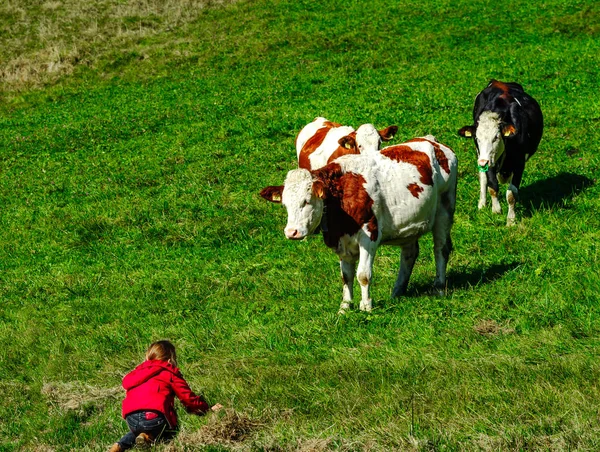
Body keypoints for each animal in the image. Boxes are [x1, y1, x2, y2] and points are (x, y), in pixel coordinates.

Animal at [260, 135, 458, 310]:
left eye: (306, 201)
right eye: (285, 204)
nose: (291, 232)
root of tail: (433, 142)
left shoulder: (369, 235)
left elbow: (363, 275)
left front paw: (366, 306)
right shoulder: (342, 241)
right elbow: (346, 276)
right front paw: (345, 306)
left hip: (445, 208)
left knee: (440, 248)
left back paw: (439, 288)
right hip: (410, 223)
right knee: (409, 254)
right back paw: (397, 292)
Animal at [460, 80, 544, 226]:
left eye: (496, 137)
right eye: (476, 138)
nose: (482, 162)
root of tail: (498, 82)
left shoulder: (519, 163)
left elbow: (511, 193)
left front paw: (511, 220)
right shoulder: (489, 160)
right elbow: (492, 186)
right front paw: (496, 210)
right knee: (483, 178)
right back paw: (481, 204)